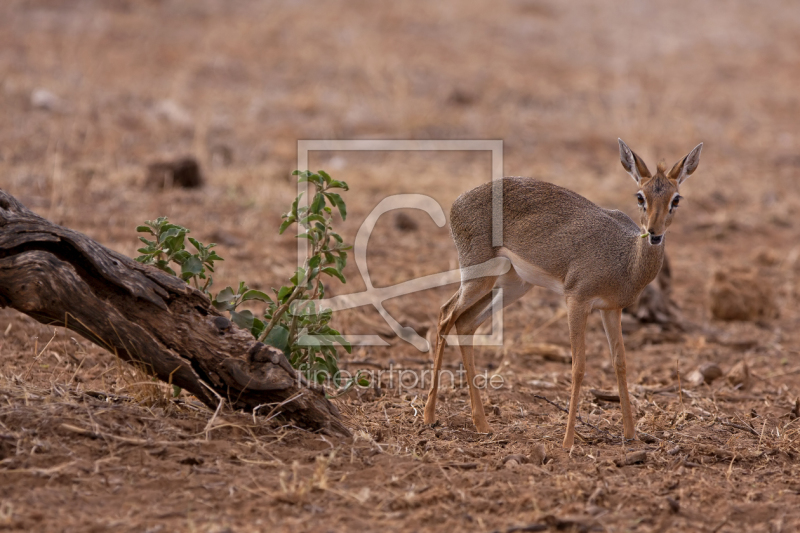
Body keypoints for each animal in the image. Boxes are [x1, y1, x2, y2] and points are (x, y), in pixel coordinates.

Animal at [422, 139, 704, 446]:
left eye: (676, 199)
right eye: (640, 196)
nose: (654, 233)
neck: (625, 258)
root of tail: (457, 202)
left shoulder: (611, 308)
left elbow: (620, 363)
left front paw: (631, 435)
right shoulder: (576, 300)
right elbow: (578, 366)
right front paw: (568, 441)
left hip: (512, 285)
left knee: (465, 322)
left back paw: (482, 424)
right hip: (478, 277)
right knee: (445, 314)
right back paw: (429, 415)